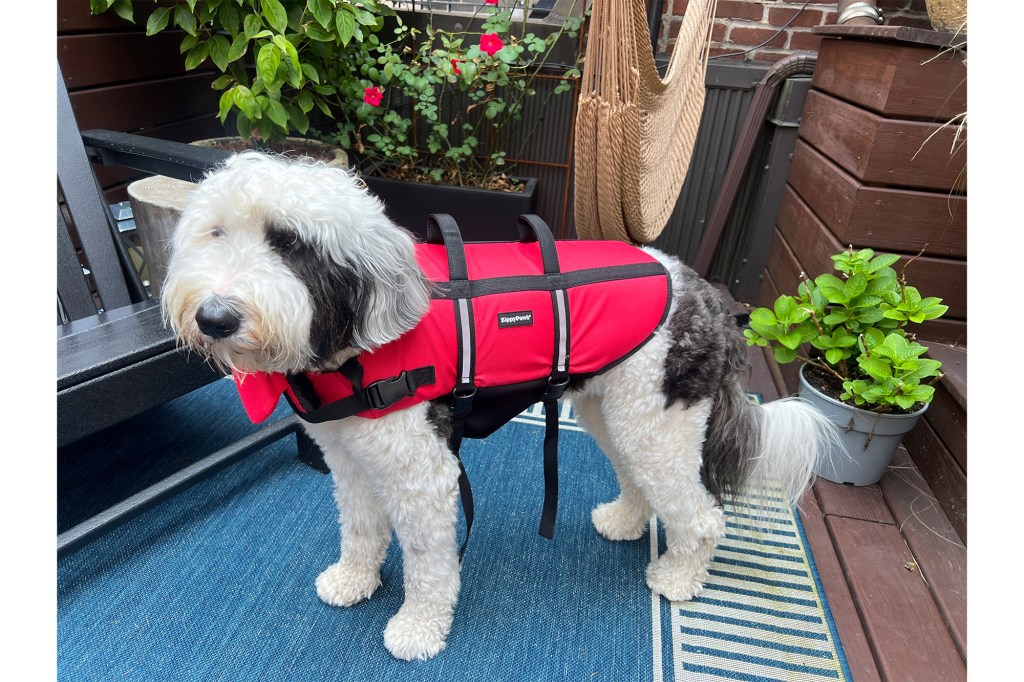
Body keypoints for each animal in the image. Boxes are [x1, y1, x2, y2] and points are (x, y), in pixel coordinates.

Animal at [157, 152, 831, 659]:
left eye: (290, 243)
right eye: (216, 232)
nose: (214, 318)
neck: (355, 338)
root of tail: (708, 295)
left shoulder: (422, 473)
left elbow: (429, 563)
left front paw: (417, 630)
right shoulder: (350, 459)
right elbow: (360, 527)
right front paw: (353, 579)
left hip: (658, 423)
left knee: (703, 516)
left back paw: (678, 579)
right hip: (617, 414)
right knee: (641, 480)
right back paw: (624, 520)